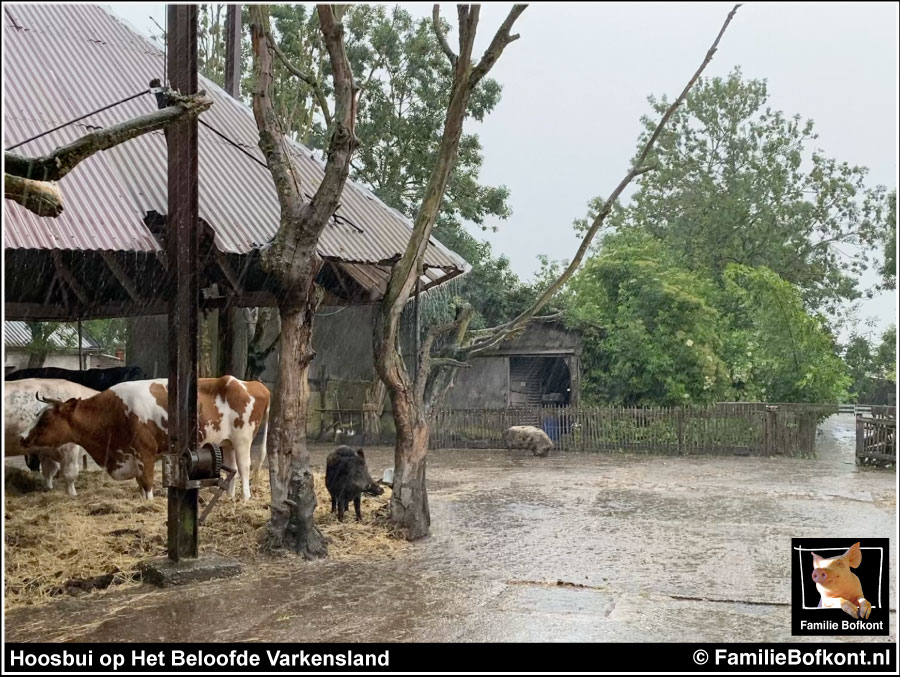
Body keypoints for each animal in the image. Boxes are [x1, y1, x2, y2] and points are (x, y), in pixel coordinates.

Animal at [20, 378, 268, 500]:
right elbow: (140, 484)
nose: (22, 437)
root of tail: (250, 383)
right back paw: (229, 497)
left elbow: (147, 484)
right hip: (226, 442)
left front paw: (149, 504)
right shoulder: (132, 457)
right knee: (232, 466)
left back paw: (245, 498)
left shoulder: (145, 453)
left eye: (47, 418)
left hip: (243, 438)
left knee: (244, 467)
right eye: (37, 414)